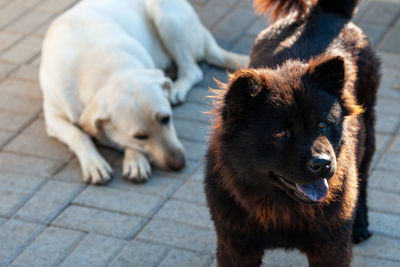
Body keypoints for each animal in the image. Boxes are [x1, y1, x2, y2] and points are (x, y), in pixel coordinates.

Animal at [39, 0, 247, 185]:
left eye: (166, 119)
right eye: (140, 136)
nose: (179, 163)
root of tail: (204, 34)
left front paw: (135, 160)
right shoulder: (52, 118)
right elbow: (79, 135)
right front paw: (94, 163)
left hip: (165, 16)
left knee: (193, 70)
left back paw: (177, 88)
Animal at [205, 0, 380, 267]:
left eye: (322, 125)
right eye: (280, 133)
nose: (323, 163)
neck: (283, 209)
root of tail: (326, 14)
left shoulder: (332, 247)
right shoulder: (236, 245)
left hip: (368, 132)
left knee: (364, 176)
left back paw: (360, 224)